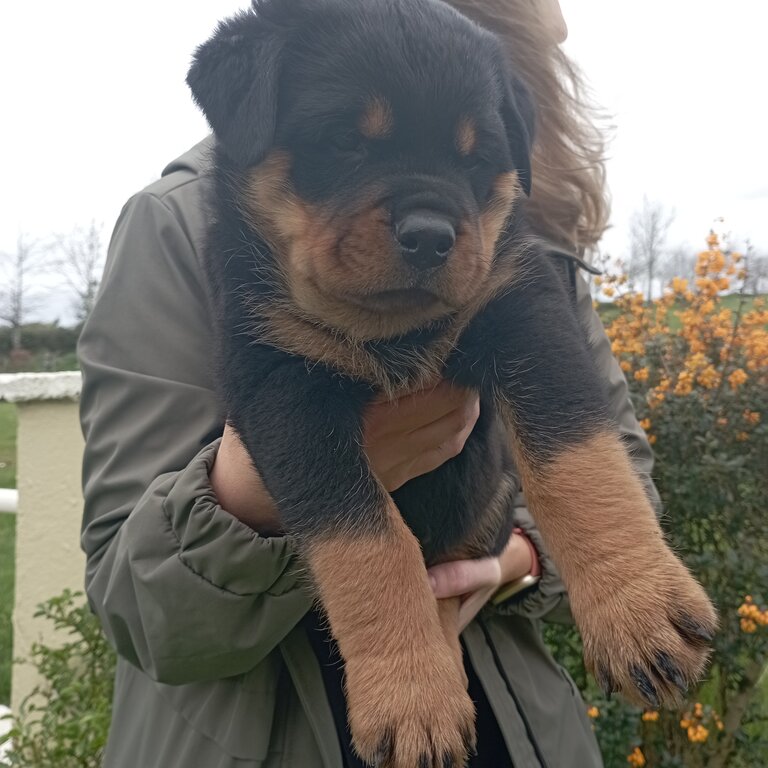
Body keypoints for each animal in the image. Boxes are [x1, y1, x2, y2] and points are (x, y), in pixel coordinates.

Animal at [189, 0, 716, 764]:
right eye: (345, 140)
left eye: (476, 159)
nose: (433, 235)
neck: (390, 331)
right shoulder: (282, 382)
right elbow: (365, 538)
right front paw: (409, 697)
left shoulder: (521, 310)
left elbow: (578, 458)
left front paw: (640, 609)